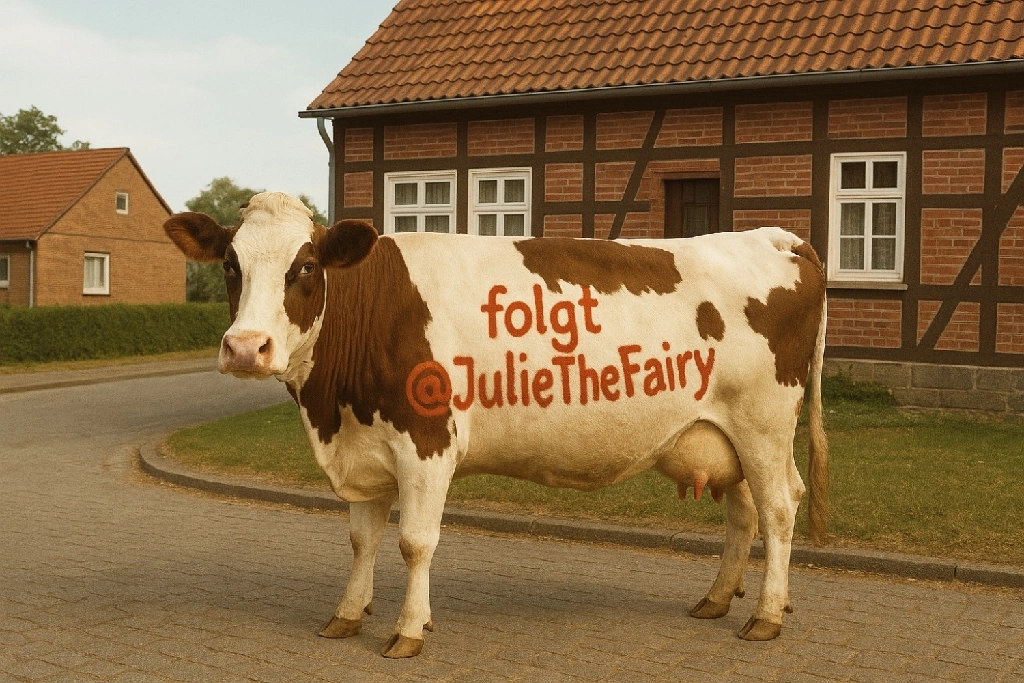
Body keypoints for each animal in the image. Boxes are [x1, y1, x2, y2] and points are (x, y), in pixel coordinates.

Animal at [164, 191, 828, 658]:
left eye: (303, 267)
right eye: (230, 264)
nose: (245, 348)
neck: (333, 409)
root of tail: (777, 237)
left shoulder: (425, 441)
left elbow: (414, 542)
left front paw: (409, 631)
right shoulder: (367, 445)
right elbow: (362, 540)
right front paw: (347, 616)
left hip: (765, 423)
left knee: (779, 508)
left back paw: (766, 616)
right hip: (727, 434)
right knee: (745, 510)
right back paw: (716, 600)